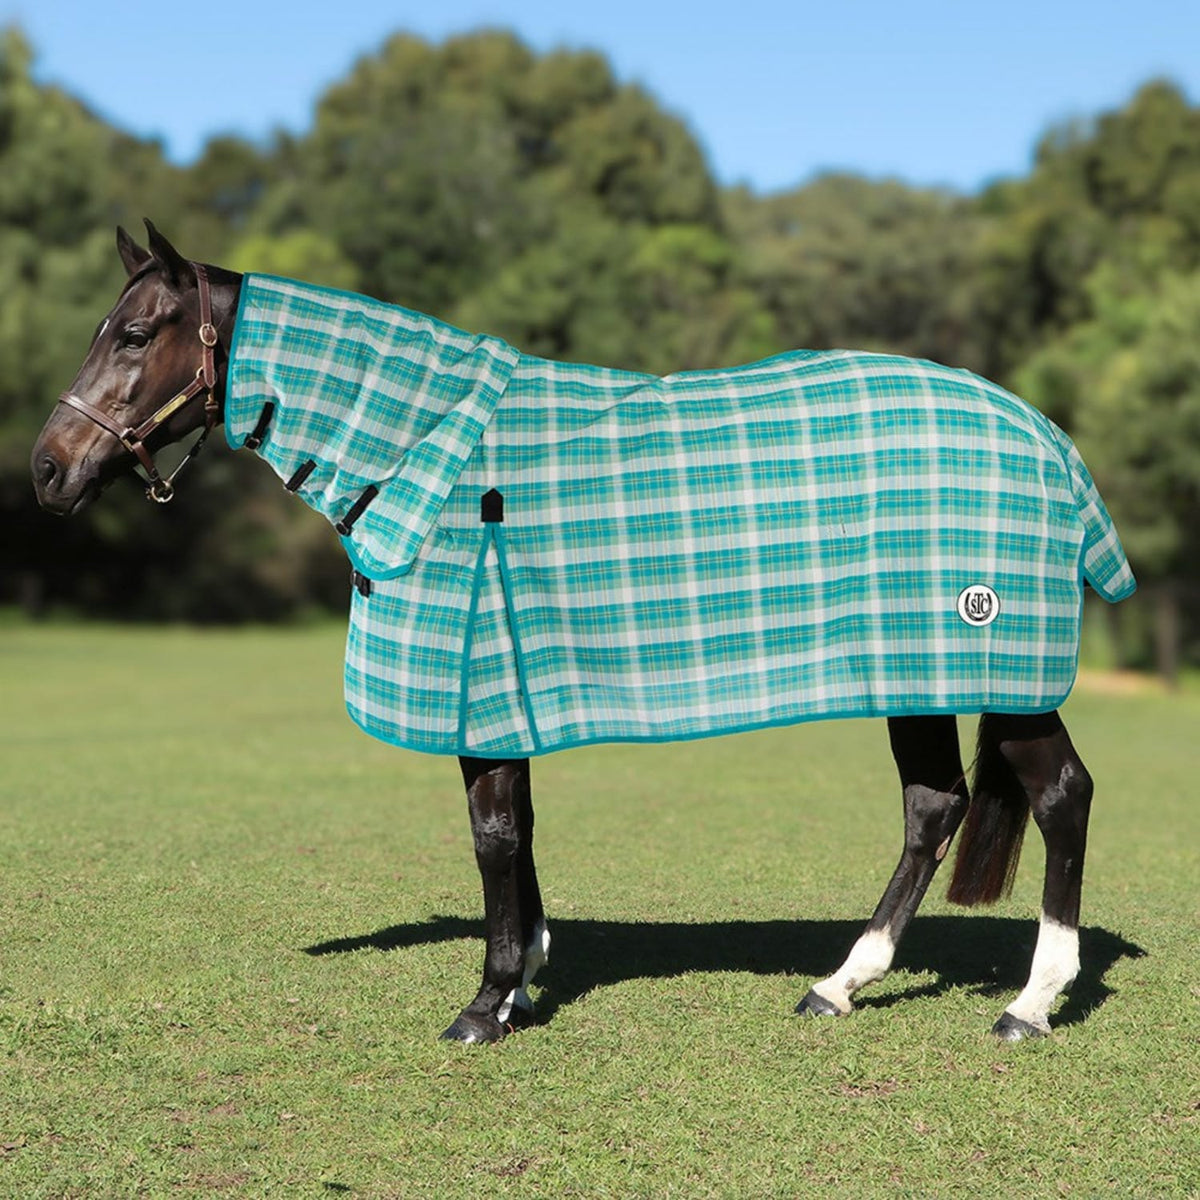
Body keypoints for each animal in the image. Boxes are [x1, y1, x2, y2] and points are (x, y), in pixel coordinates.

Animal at [31, 221, 1135, 1044]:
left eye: (138, 334)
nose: (48, 469)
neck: (428, 450)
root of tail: (1051, 443)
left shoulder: (477, 684)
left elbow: (492, 833)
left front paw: (486, 1002)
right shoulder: (502, 689)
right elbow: (517, 832)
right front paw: (523, 978)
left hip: (995, 665)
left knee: (1061, 796)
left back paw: (1032, 1002)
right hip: (918, 669)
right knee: (933, 807)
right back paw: (840, 983)